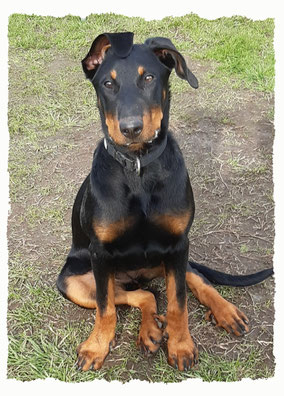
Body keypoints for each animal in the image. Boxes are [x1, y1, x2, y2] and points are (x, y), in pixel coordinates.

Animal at [56, 31, 272, 372]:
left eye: (148, 78)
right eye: (108, 83)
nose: (131, 129)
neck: (138, 168)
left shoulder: (178, 243)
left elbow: (178, 303)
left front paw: (181, 345)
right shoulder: (99, 253)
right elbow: (106, 307)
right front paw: (96, 347)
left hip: (170, 259)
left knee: (190, 280)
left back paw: (223, 311)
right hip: (72, 281)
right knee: (141, 295)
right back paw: (150, 331)